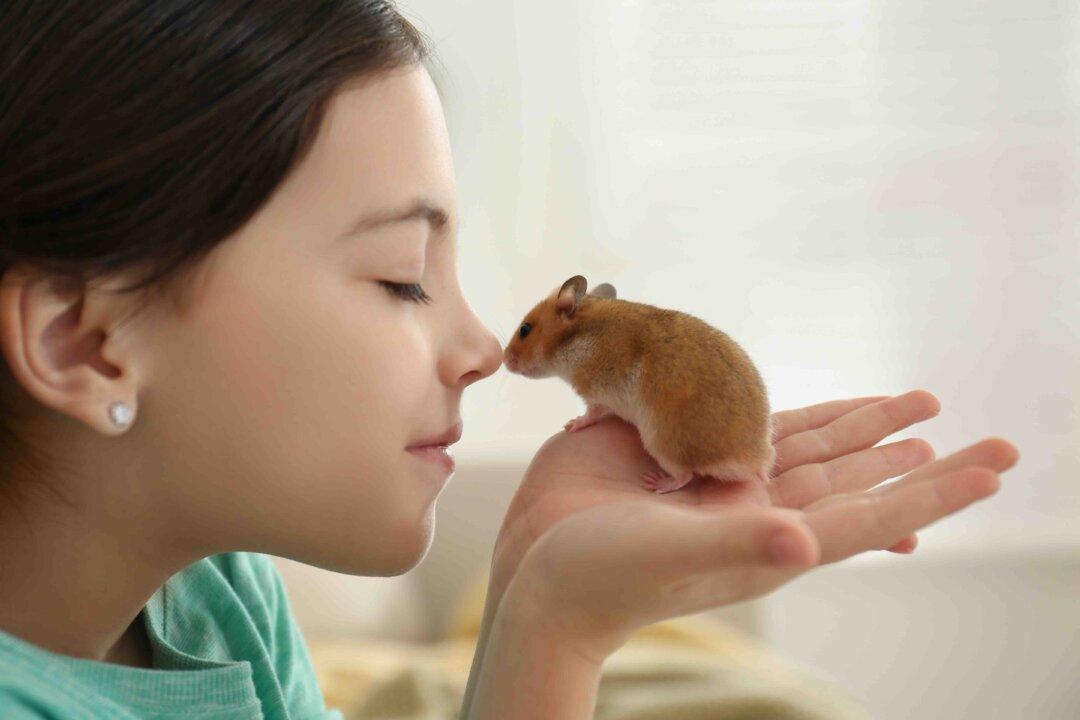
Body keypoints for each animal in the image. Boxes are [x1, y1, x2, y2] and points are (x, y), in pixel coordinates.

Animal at [503, 275, 775, 494]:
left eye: (525, 329)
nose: (505, 360)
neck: (577, 337)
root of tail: (757, 460)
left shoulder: (596, 395)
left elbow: (590, 414)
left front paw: (572, 425)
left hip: (661, 444)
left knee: (685, 475)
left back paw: (656, 483)